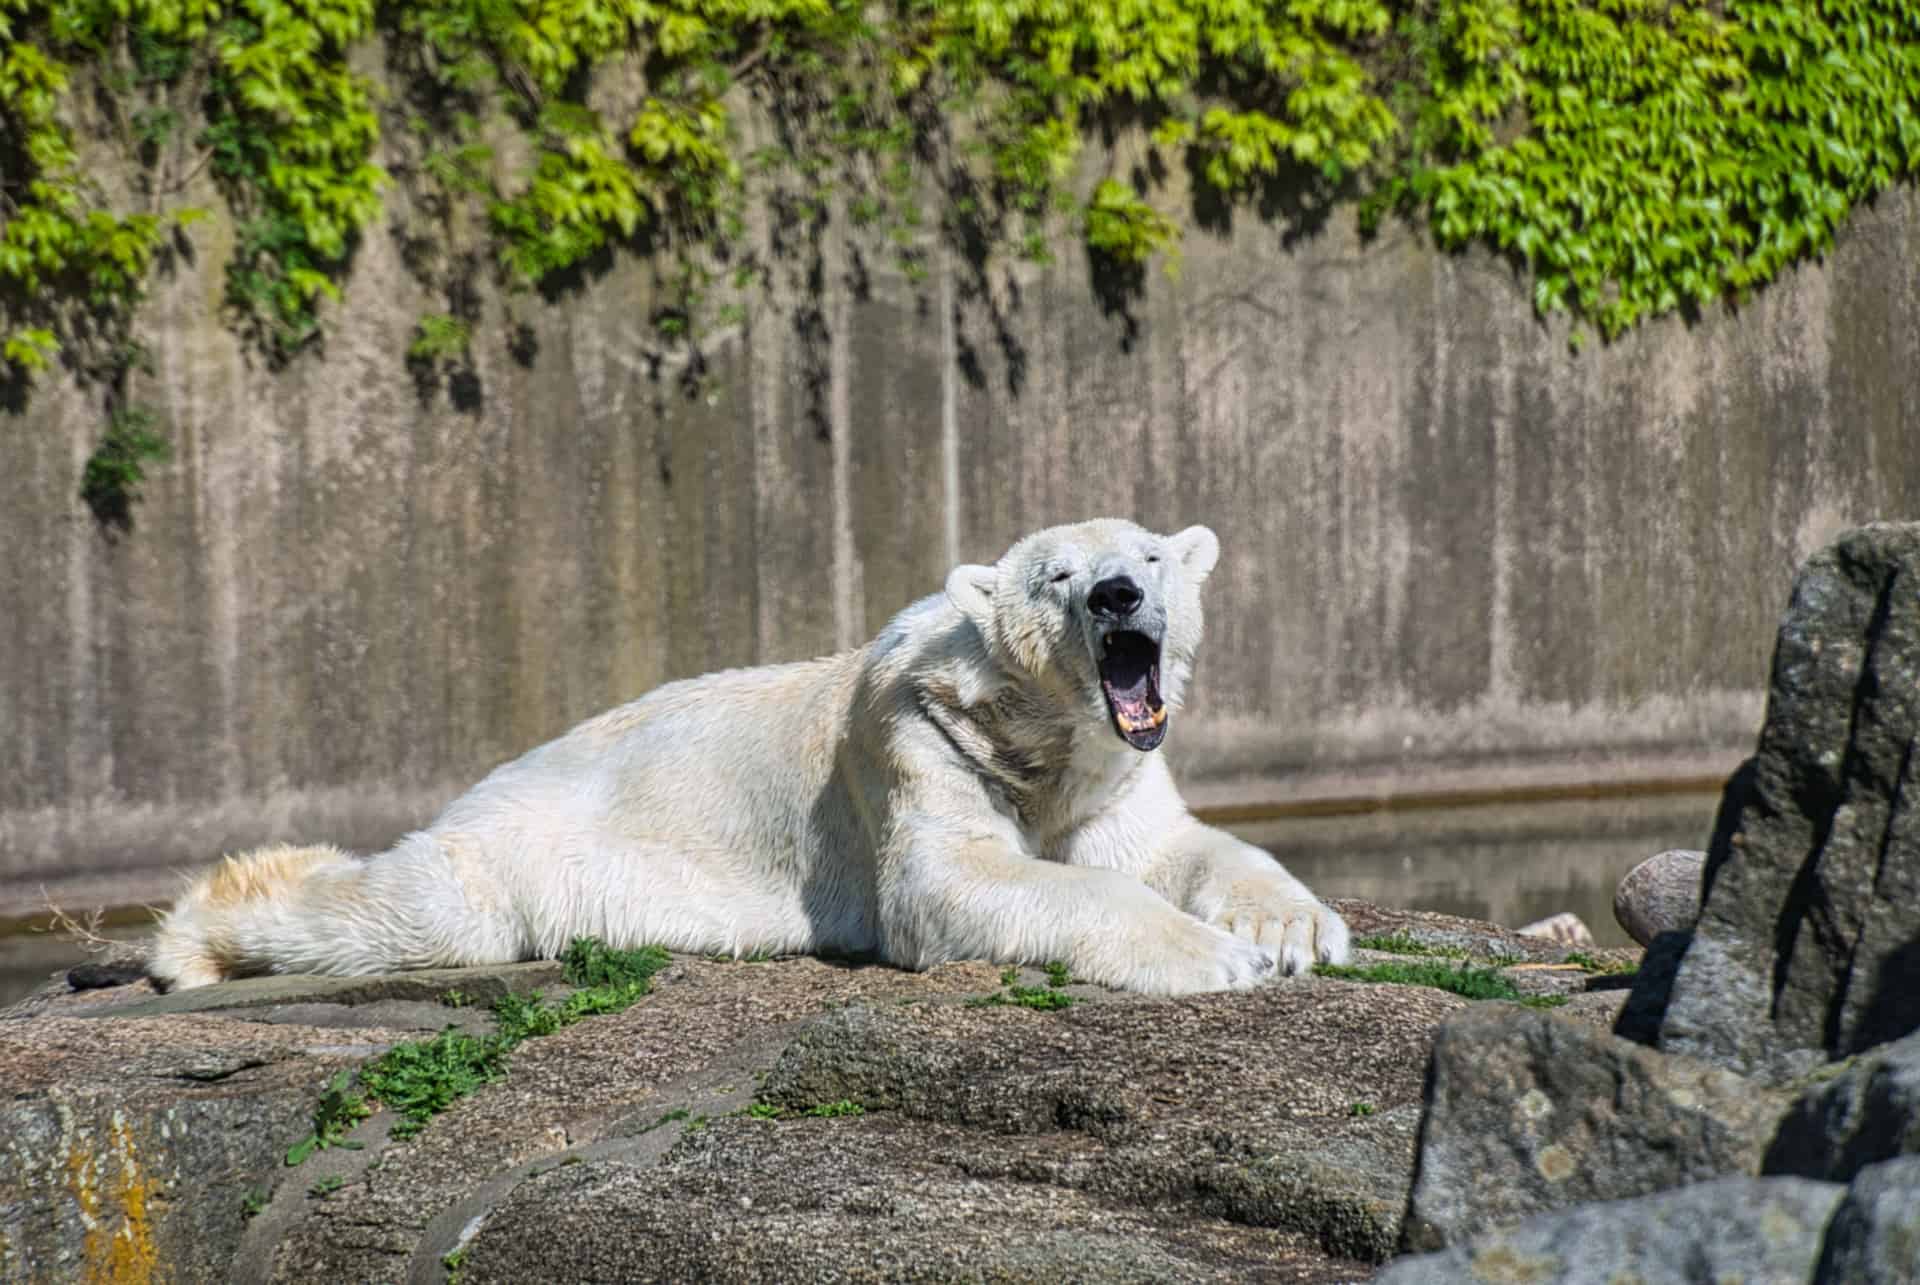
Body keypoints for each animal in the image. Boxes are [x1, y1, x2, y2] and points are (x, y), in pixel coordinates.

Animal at [149, 518, 1351, 991]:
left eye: (1151, 554)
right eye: (1055, 574)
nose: (1116, 597)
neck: (1037, 735)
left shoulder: (1116, 771)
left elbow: (1175, 849)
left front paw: (1293, 930)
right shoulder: (918, 742)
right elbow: (955, 882)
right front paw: (1217, 958)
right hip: (521, 846)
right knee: (419, 911)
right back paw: (190, 942)